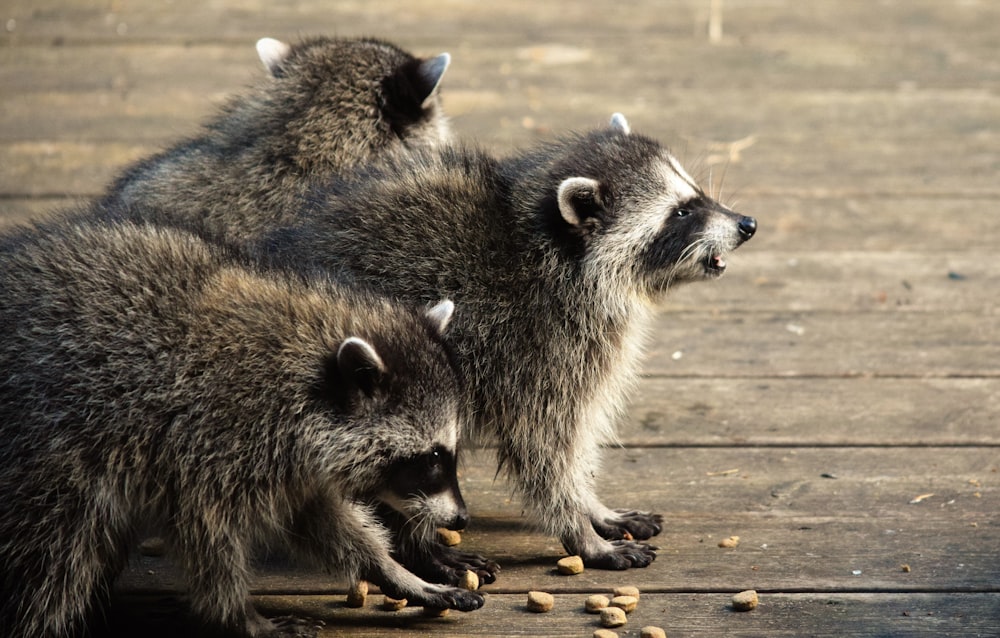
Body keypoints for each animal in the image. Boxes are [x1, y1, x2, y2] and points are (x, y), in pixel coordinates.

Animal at [0, 220, 484, 638]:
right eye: (432, 457)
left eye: (447, 453)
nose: (461, 517)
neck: (307, 377)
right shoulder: (207, 441)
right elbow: (208, 536)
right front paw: (239, 615)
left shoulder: (286, 462)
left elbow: (319, 519)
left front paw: (393, 570)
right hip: (47, 452)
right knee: (51, 556)